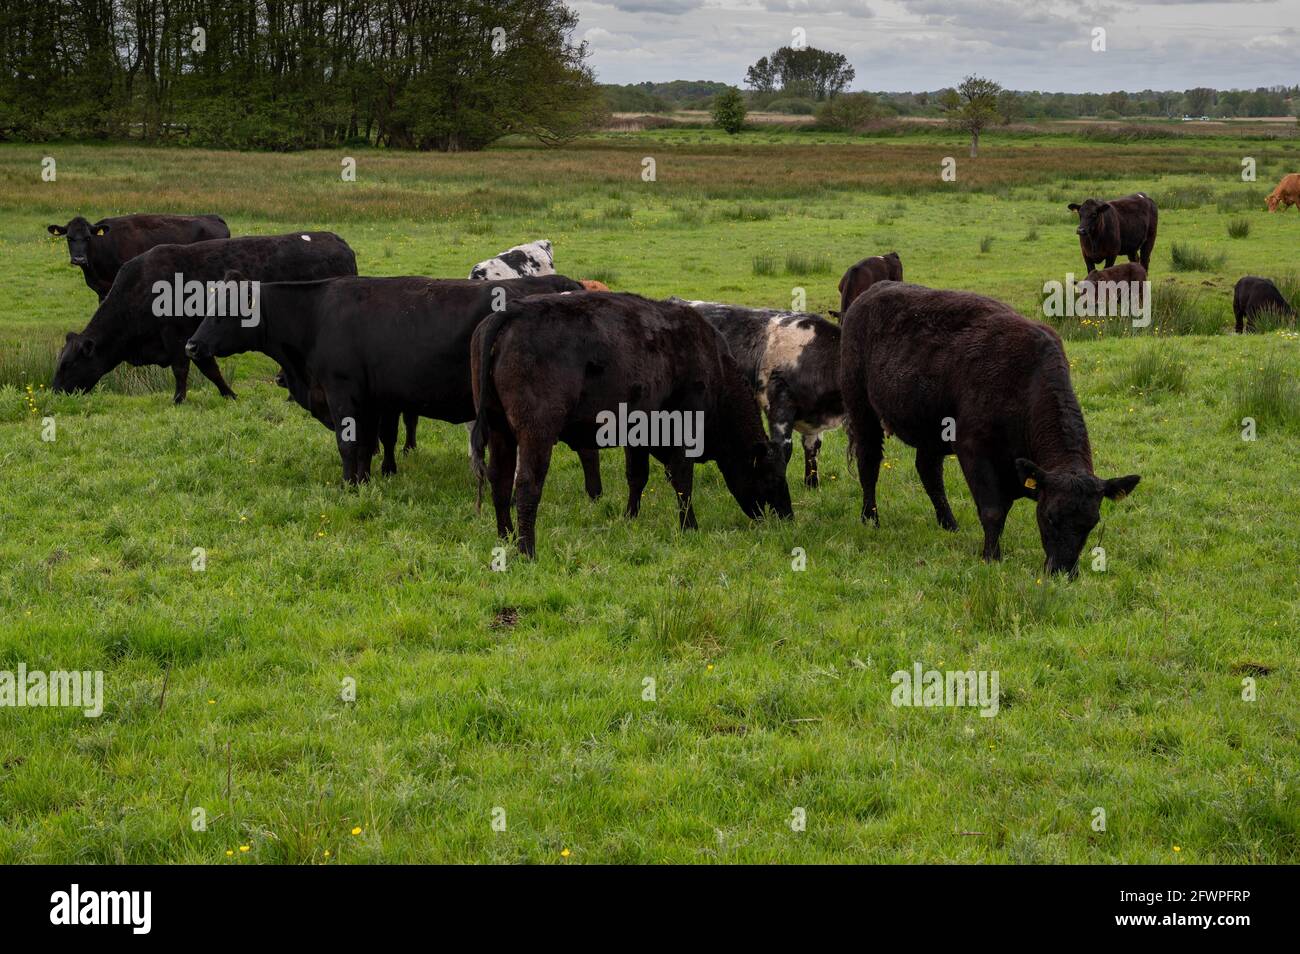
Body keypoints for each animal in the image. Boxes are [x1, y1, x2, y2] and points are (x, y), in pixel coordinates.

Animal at [52, 232, 357, 403]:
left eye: (68, 364)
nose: (55, 392)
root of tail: (338, 242)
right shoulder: (194, 339)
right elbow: (208, 368)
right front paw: (228, 394)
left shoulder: (178, 336)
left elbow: (189, 369)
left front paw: (181, 399)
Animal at [184, 274, 604, 490]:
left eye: (226, 310)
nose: (192, 345)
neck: (316, 317)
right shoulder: (372, 401)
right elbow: (369, 443)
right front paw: (367, 480)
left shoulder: (342, 393)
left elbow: (349, 444)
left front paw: (349, 486)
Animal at [468, 292, 793, 558]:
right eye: (771, 476)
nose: (787, 516)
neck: (713, 365)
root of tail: (512, 311)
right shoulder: (685, 428)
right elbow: (682, 480)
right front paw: (689, 526)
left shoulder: (638, 434)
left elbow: (637, 476)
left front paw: (630, 518)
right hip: (536, 432)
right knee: (526, 484)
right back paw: (527, 550)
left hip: (500, 430)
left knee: (500, 480)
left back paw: (506, 538)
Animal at [839, 281, 1140, 576]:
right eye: (1049, 516)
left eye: (1091, 523)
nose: (1064, 571)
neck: (1024, 382)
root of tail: (873, 290)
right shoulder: (973, 449)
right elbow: (993, 510)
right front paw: (991, 557)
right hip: (861, 406)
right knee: (869, 462)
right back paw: (870, 518)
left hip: (931, 426)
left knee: (928, 471)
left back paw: (949, 524)